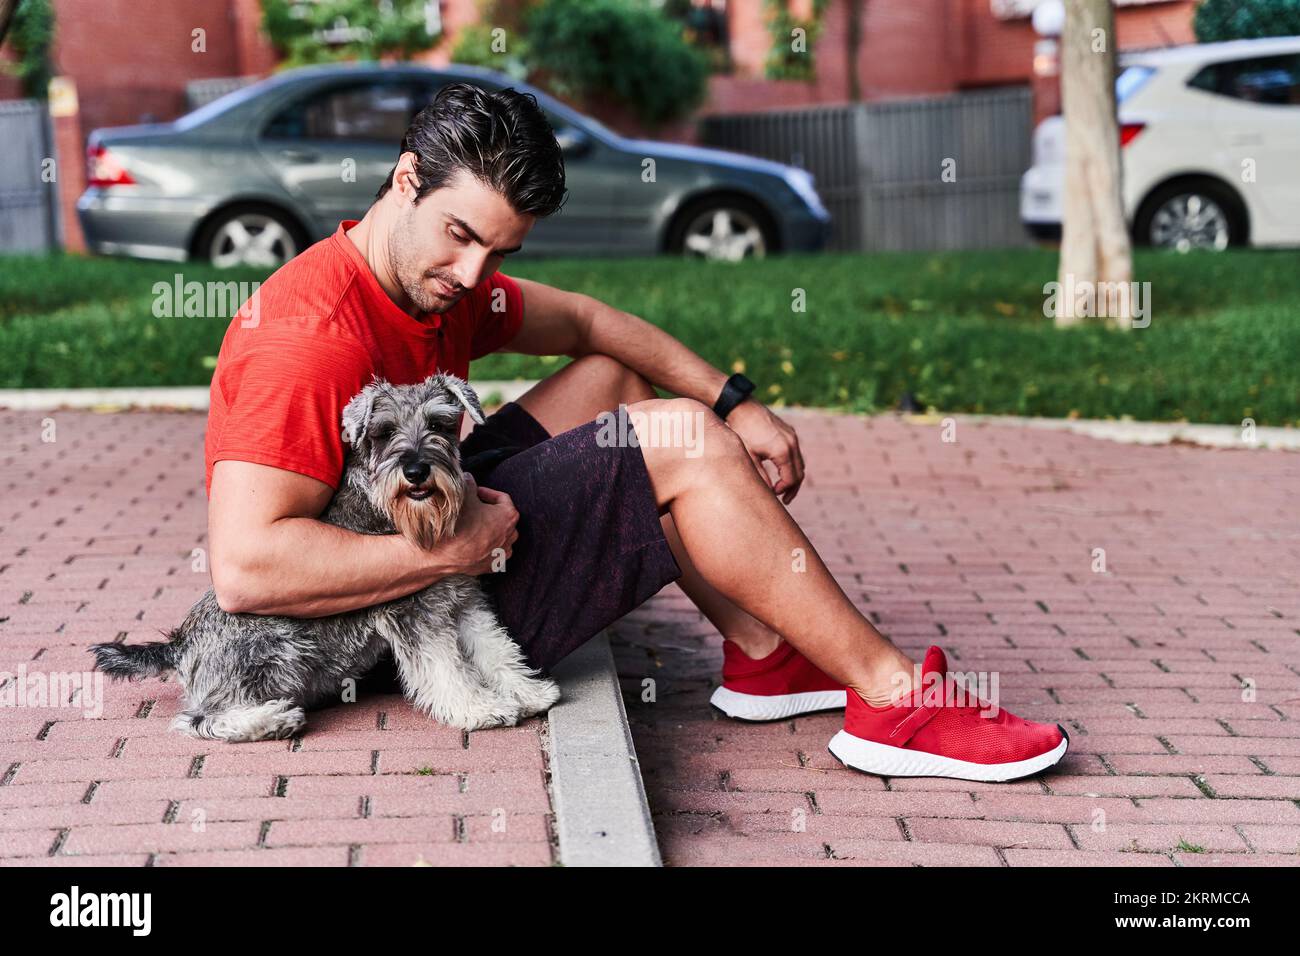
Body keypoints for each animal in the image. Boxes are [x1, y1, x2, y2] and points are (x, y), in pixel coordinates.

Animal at [90, 371, 559, 738]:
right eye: (383, 431)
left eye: (441, 425)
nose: (416, 471)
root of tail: (179, 645)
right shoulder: (413, 615)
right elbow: (446, 668)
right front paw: (479, 709)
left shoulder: (463, 602)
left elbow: (496, 648)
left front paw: (530, 692)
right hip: (279, 646)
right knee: (197, 718)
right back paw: (272, 720)